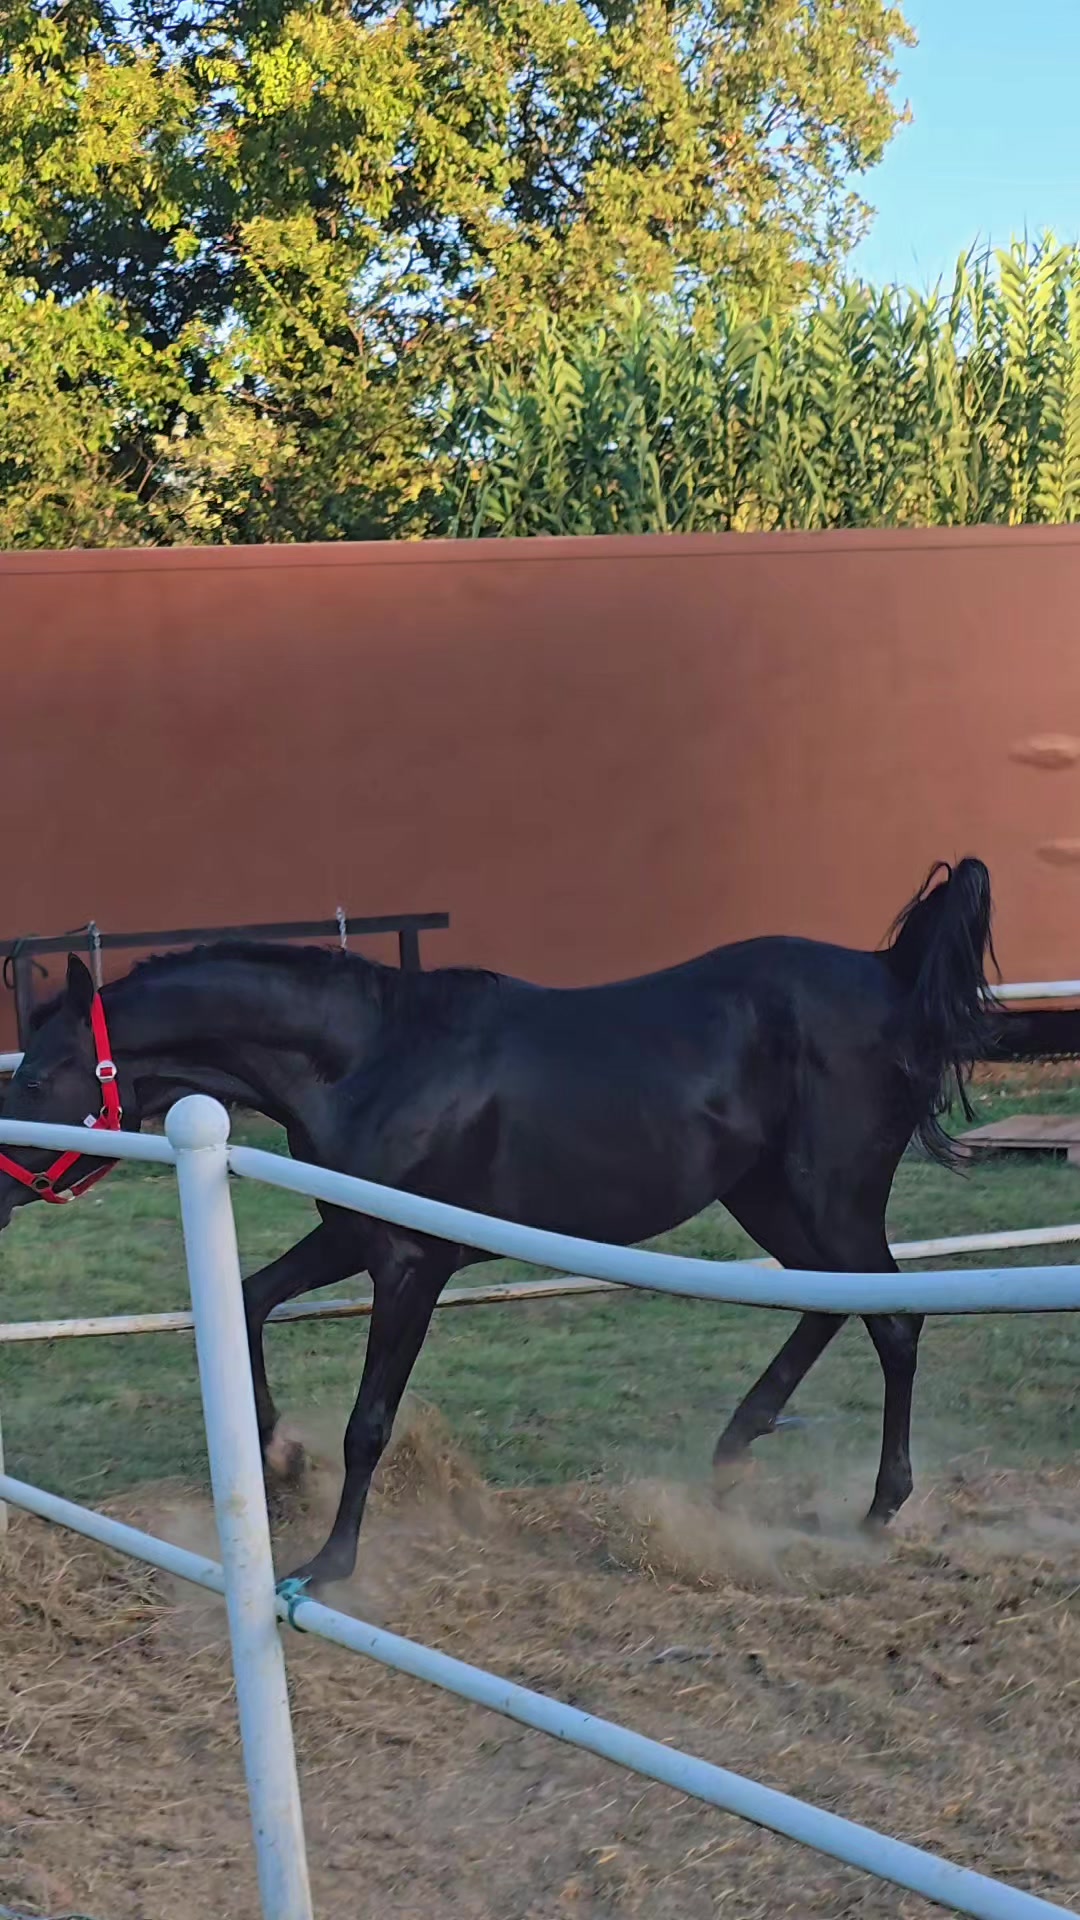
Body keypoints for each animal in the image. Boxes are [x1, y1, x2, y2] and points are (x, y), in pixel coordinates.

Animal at [0, 857, 997, 1593]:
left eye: (37, 1075)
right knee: (834, 1304)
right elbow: (247, 1303)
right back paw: (734, 1451)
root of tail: (891, 980)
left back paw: (878, 1509)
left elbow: (370, 1421)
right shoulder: (352, 1236)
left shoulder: (410, 1263)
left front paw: (329, 1564)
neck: (373, 1059)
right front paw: (278, 1460)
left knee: (897, 1321)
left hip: (829, 1198)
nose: (1, 1180)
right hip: (769, 1198)